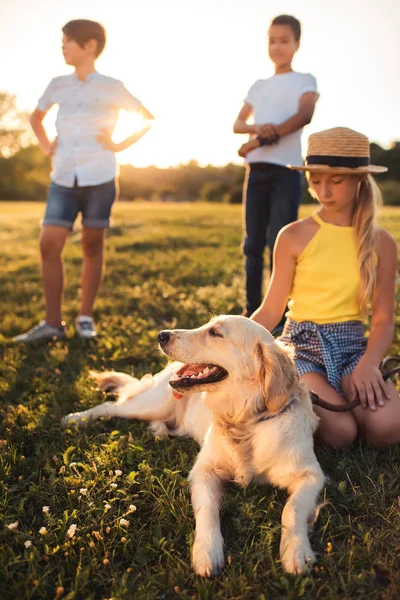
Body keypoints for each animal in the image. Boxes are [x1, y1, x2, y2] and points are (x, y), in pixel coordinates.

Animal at [63, 318, 324, 576]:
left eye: (215, 332)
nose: (162, 335)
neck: (245, 422)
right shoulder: (204, 471)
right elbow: (208, 509)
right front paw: (207, 551)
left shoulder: (311, 475)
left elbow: (292, 508)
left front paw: (296, 551)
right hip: (151, 405)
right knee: (110, 406)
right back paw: (75, 418)